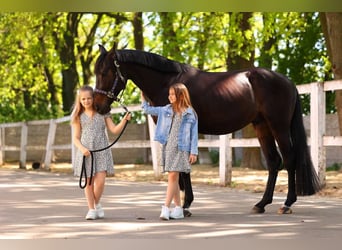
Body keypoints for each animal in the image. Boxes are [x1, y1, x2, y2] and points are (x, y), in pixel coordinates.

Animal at [93, 44, 320, 213]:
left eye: (105, 72)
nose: (98, 106)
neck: (169, 83)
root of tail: (288, 81)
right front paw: (182, 201)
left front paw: (185, 205)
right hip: (262, 126)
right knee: (274, 162)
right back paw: (261, 204)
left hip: (278, 126)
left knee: (289, 159)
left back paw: (287, 203)